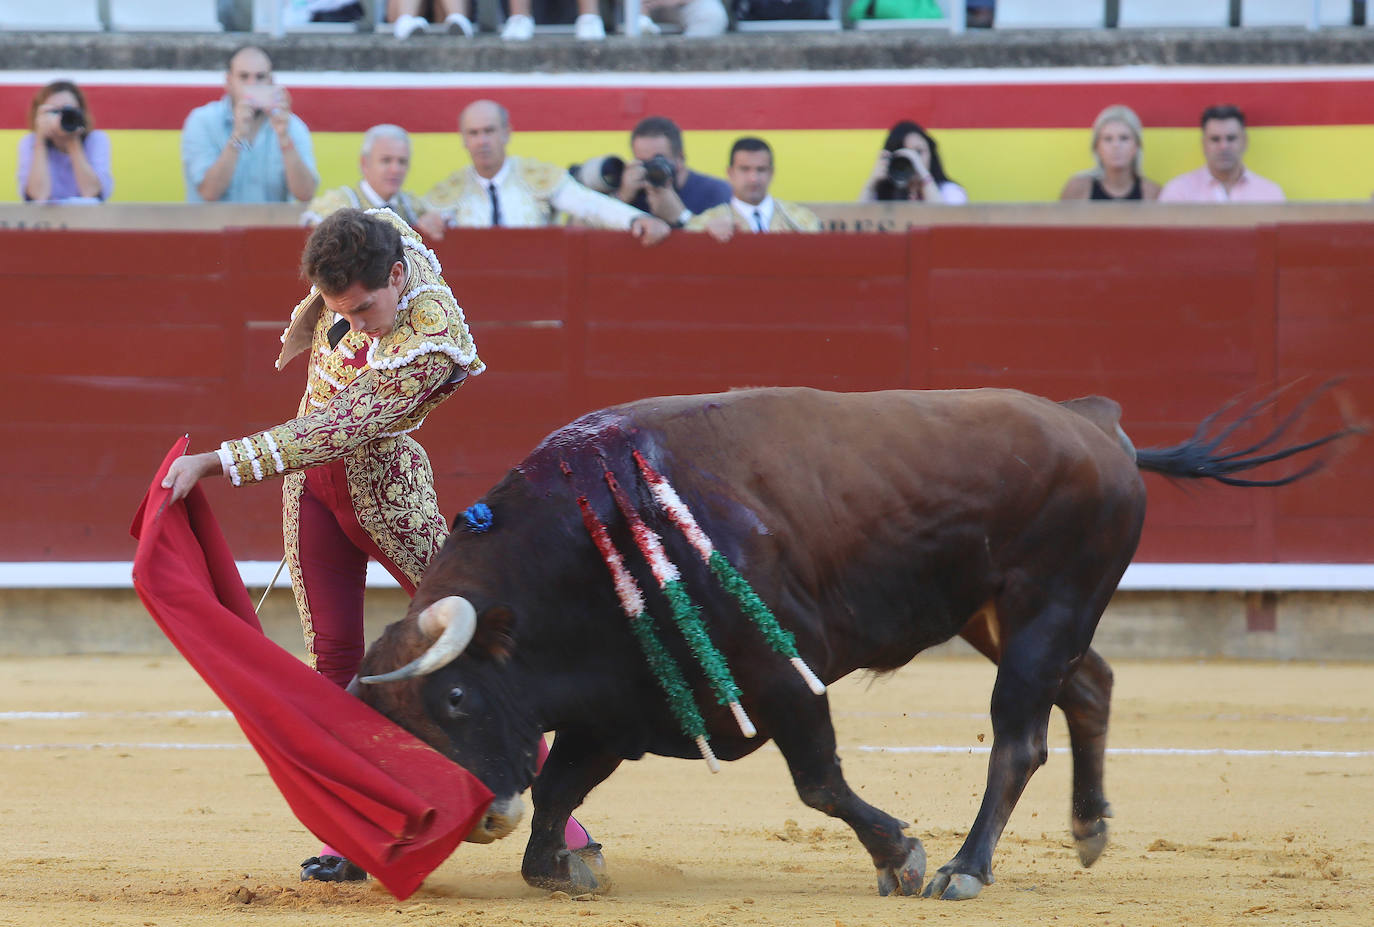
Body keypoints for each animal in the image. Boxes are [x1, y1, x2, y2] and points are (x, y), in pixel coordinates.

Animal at [354, 384, 1352, 900]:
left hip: (1044, 611)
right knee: (1092, 686)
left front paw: (900, 855)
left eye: (454, 697)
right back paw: (1089, 828)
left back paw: (964, 868)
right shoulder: (622, 703)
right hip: (1001, 615)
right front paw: (564, 865)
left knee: (1020, 735)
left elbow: (819, 780)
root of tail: (1097, 424)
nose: (481, 814)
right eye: (399, 727)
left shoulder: (779, 676)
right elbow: (562, 783)